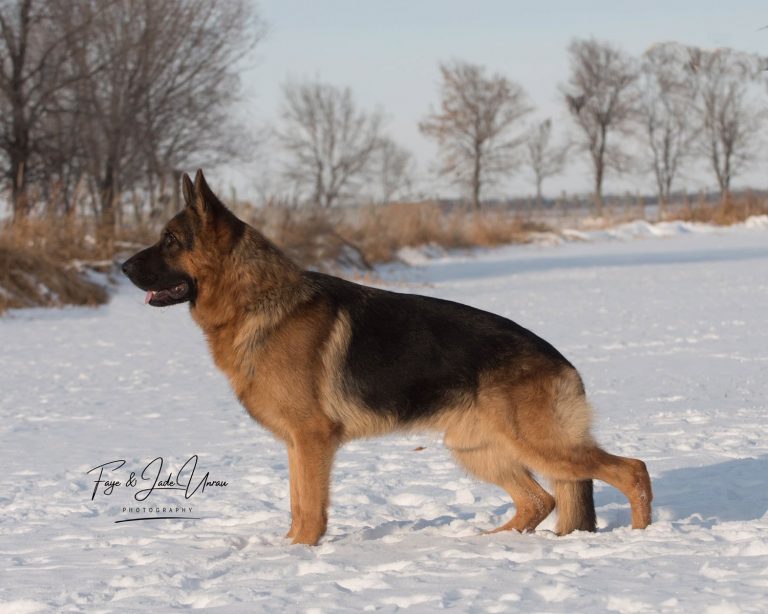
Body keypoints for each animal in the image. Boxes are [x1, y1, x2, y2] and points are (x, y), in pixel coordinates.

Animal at [123, 171, 652, 548]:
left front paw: (300, 553)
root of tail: (562, 361)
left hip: (536, 444)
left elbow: (310, 507)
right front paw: (289, 550)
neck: (255, 299)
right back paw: (490, 542)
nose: (121, 266)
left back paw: (643, 537)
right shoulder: (297, 444)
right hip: (477, 449)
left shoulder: (312, 439)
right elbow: (297, 504)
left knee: (632, 470)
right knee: (541, 500)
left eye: (170, 240)